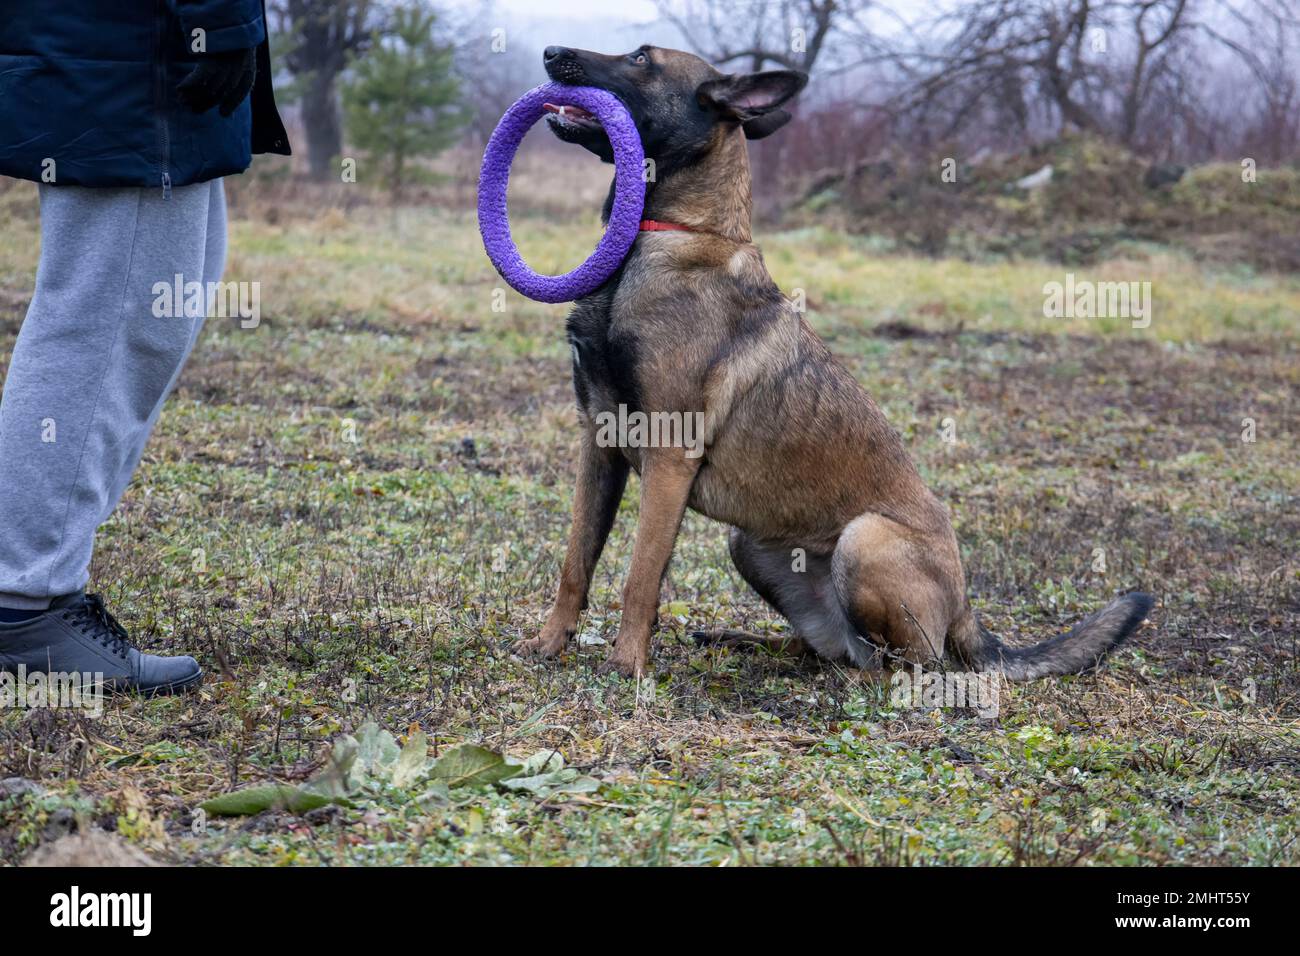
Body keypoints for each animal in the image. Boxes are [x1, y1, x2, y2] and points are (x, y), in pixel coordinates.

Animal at [512, 41, 1154, 676]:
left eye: (642, 59)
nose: (549, 51)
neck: (667, 234)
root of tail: (966, 609)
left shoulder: (669, 455)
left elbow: (641, 576)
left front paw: (627, 667)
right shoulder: (599, 441)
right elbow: (577, 560)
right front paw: (549, 643)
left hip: (863, 540)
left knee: (909, 664)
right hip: (749, 544)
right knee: (831, 649)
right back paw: (743, 641)